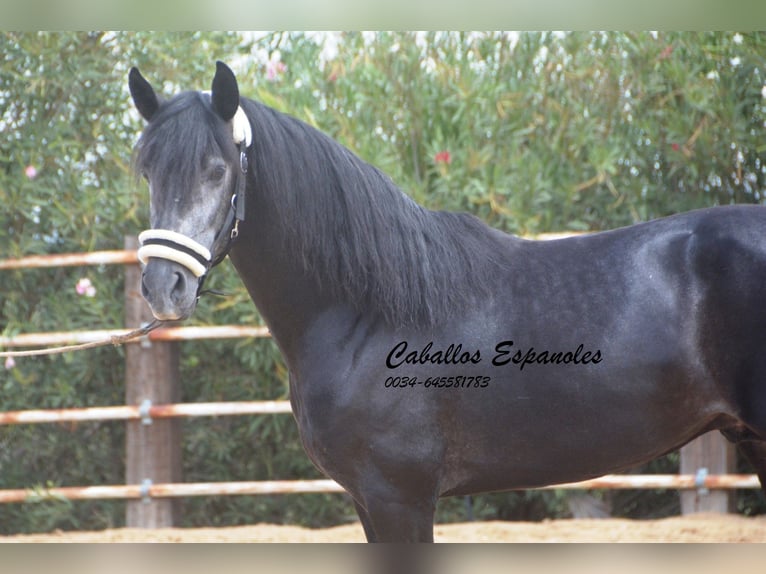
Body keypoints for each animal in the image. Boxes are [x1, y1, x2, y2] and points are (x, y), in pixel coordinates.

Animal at [130, 63, 766, 544]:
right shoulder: (369, 500)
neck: (370, 317)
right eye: (148, 172)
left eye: (217, 171)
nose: (163, 288)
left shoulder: (400, 498)